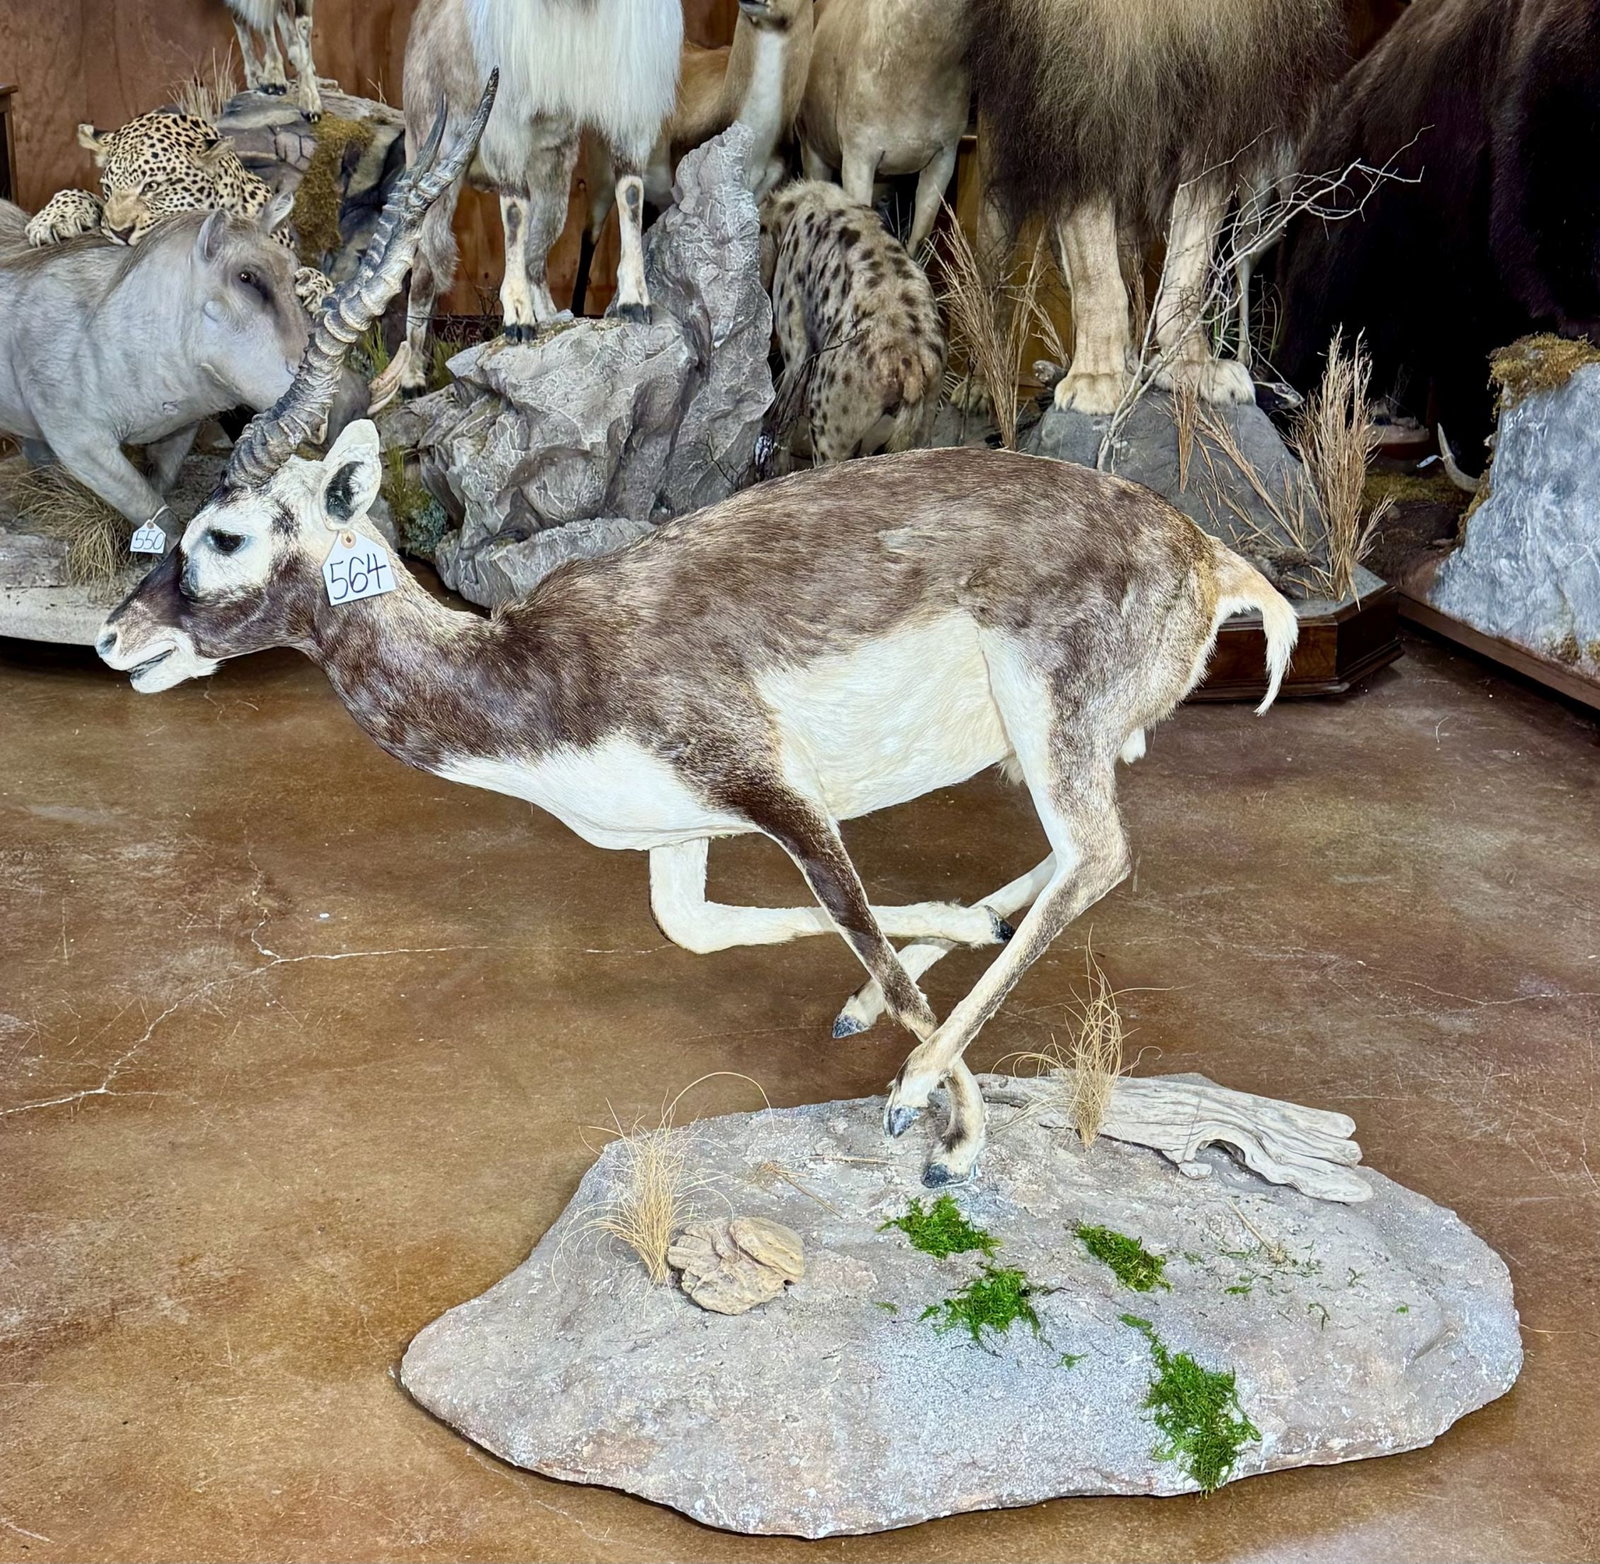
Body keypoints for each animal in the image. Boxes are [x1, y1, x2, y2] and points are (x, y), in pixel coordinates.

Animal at [96, 80, 1299, 1187]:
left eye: (223, 535)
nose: (116, 636)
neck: (531, 679)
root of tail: (1207, 554)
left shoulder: (773, 789)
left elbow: (846, 908)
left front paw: (952, 1123)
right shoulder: (674, 834)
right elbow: (708, 931)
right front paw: (939, 942)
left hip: (1051, 726)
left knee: (1098, 854)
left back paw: (917, 1083)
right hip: (1053, 745)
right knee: (1069, 854)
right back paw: (935, 959)